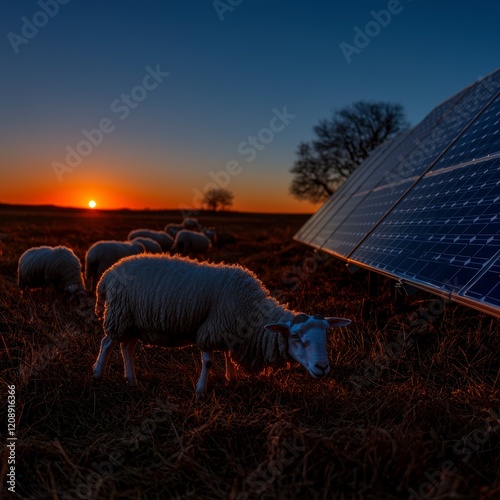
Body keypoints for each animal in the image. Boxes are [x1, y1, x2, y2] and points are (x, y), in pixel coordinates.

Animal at [94, 256, 352, 396]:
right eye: (296, 336)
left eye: (327, 334)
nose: (322, 368)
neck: (251, 308)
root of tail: (108, 274)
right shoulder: (212, 329)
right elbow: (208, 362)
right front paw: (200, 390)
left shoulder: (230, 330)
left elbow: (228, 354)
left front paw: (232, 378)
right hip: (119, 316)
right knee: (107, 342)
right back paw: (97, 374)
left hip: (132, 322)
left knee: (126, 347)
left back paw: (131, 380)